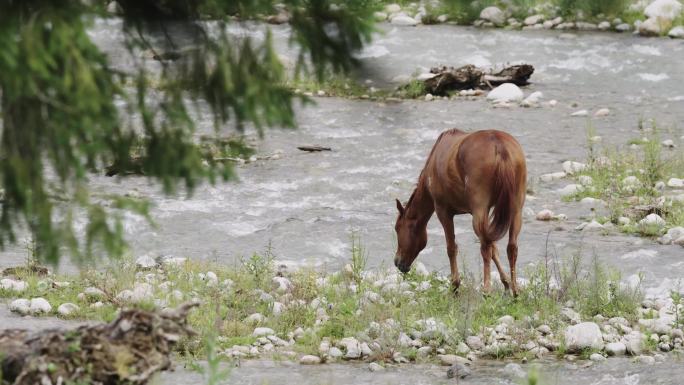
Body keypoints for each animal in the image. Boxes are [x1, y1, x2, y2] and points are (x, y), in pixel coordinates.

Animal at [392, 128, 528, 294]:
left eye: (398, 229)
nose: (397, 262)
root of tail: (500, 147)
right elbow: (494, 249)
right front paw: (506, 282)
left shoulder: (443, 211)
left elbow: (452, 248)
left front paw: (455, 285)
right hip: (515, 209)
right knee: (511, 248)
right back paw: (516, 291)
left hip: (480, 211)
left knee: (485, 248)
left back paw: (487, 290)